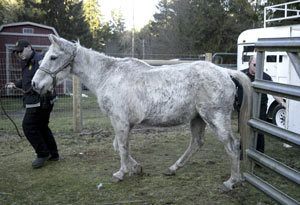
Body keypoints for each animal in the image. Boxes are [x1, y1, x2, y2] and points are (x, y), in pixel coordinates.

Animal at [31, 34, 252, 191]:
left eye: (53, 57)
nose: (35, 84)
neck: (108, 75)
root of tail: (225, 72)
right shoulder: (124, 124)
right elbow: (119, 146)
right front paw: (136, 169)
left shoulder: (120, 121)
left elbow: (121, 147)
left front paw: (121, 173)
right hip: (197, 118)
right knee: (196, 143)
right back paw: (172, 169)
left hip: (215, 118)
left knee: (232, 145)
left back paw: (232, 182)